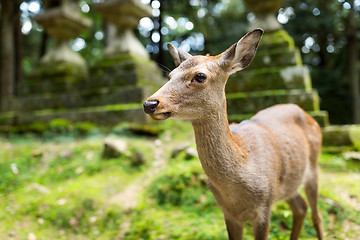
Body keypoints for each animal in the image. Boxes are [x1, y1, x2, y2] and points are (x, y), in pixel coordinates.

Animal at [143, 29, 324, 239]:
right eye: (170, 75)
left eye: (200, 76)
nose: (149, 104)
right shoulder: (228, 213)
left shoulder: (264, 206)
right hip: (289, 183)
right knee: (301, 208)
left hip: (313, 167)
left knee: (316, 215)